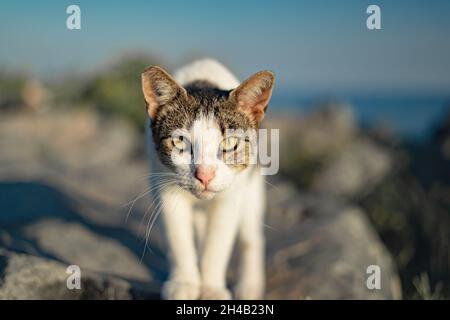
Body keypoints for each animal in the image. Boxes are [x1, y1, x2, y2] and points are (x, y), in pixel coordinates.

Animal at [142, 58, 274, 300]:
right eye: (180, 141)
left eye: (230, 142)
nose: (205, 174)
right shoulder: (162, 182)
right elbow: (177, 236)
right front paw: (184, 282)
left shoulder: (232, 194)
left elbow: (218, 243)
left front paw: (212, 288)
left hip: (252, 188)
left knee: (251, 236)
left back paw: (250, 284)